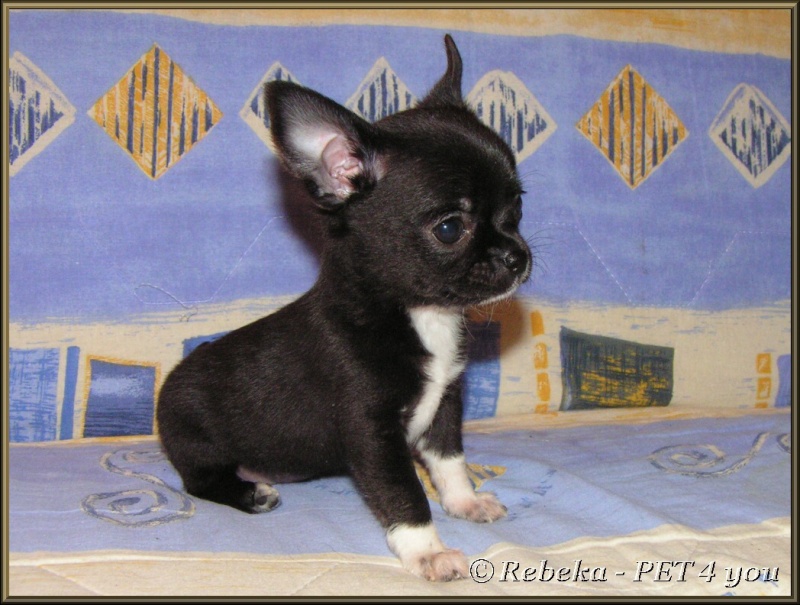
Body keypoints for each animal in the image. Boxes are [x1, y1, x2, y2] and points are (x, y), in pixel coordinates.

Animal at [156, 35, 532, 582]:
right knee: (199, 482)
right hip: (197, 439)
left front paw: (464, 502)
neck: (417, 314)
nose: (518, 256)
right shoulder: (372, 431)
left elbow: (449, 461)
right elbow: (403, 492)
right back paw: (251, 493)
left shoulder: (444, 407)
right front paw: (428, 550)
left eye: (517, 209)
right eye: (449, 228)